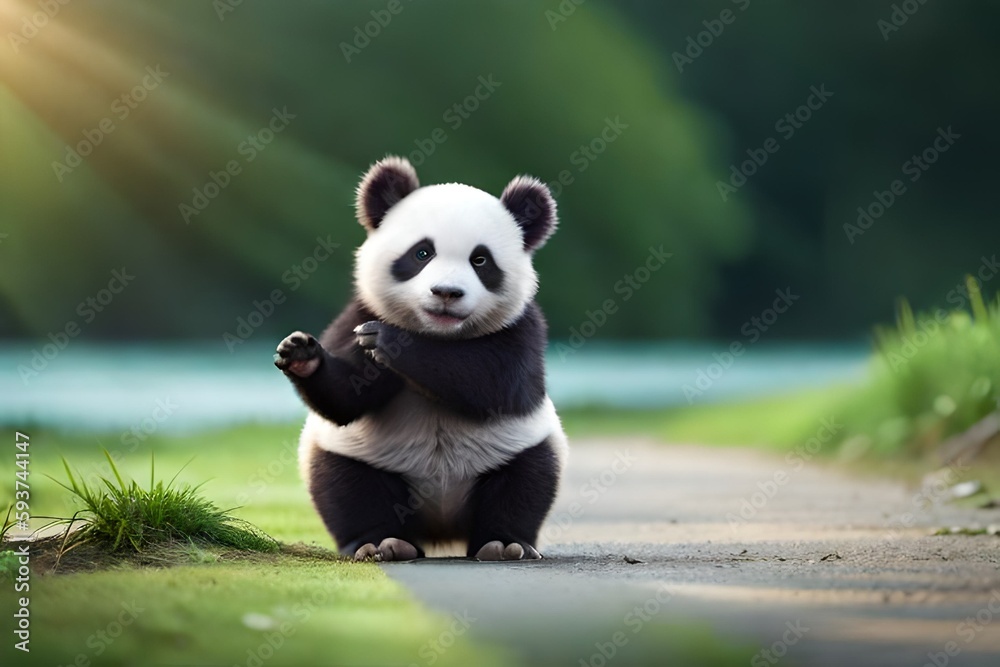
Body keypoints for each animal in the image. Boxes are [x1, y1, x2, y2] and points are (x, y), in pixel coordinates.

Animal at [274, 156, 567, 562]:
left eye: (481, 260)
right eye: (421, 253)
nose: (446, 292)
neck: (439, 333)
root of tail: (440, 526)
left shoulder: (523, 328)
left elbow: (498, 384)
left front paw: (393, 342)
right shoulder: (357, 313)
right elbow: (345, 400)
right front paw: (302, 353)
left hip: (519, 446)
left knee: (526, 482)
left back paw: (504, 543)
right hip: (357, 454)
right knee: (347, 487)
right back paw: (381, 541)